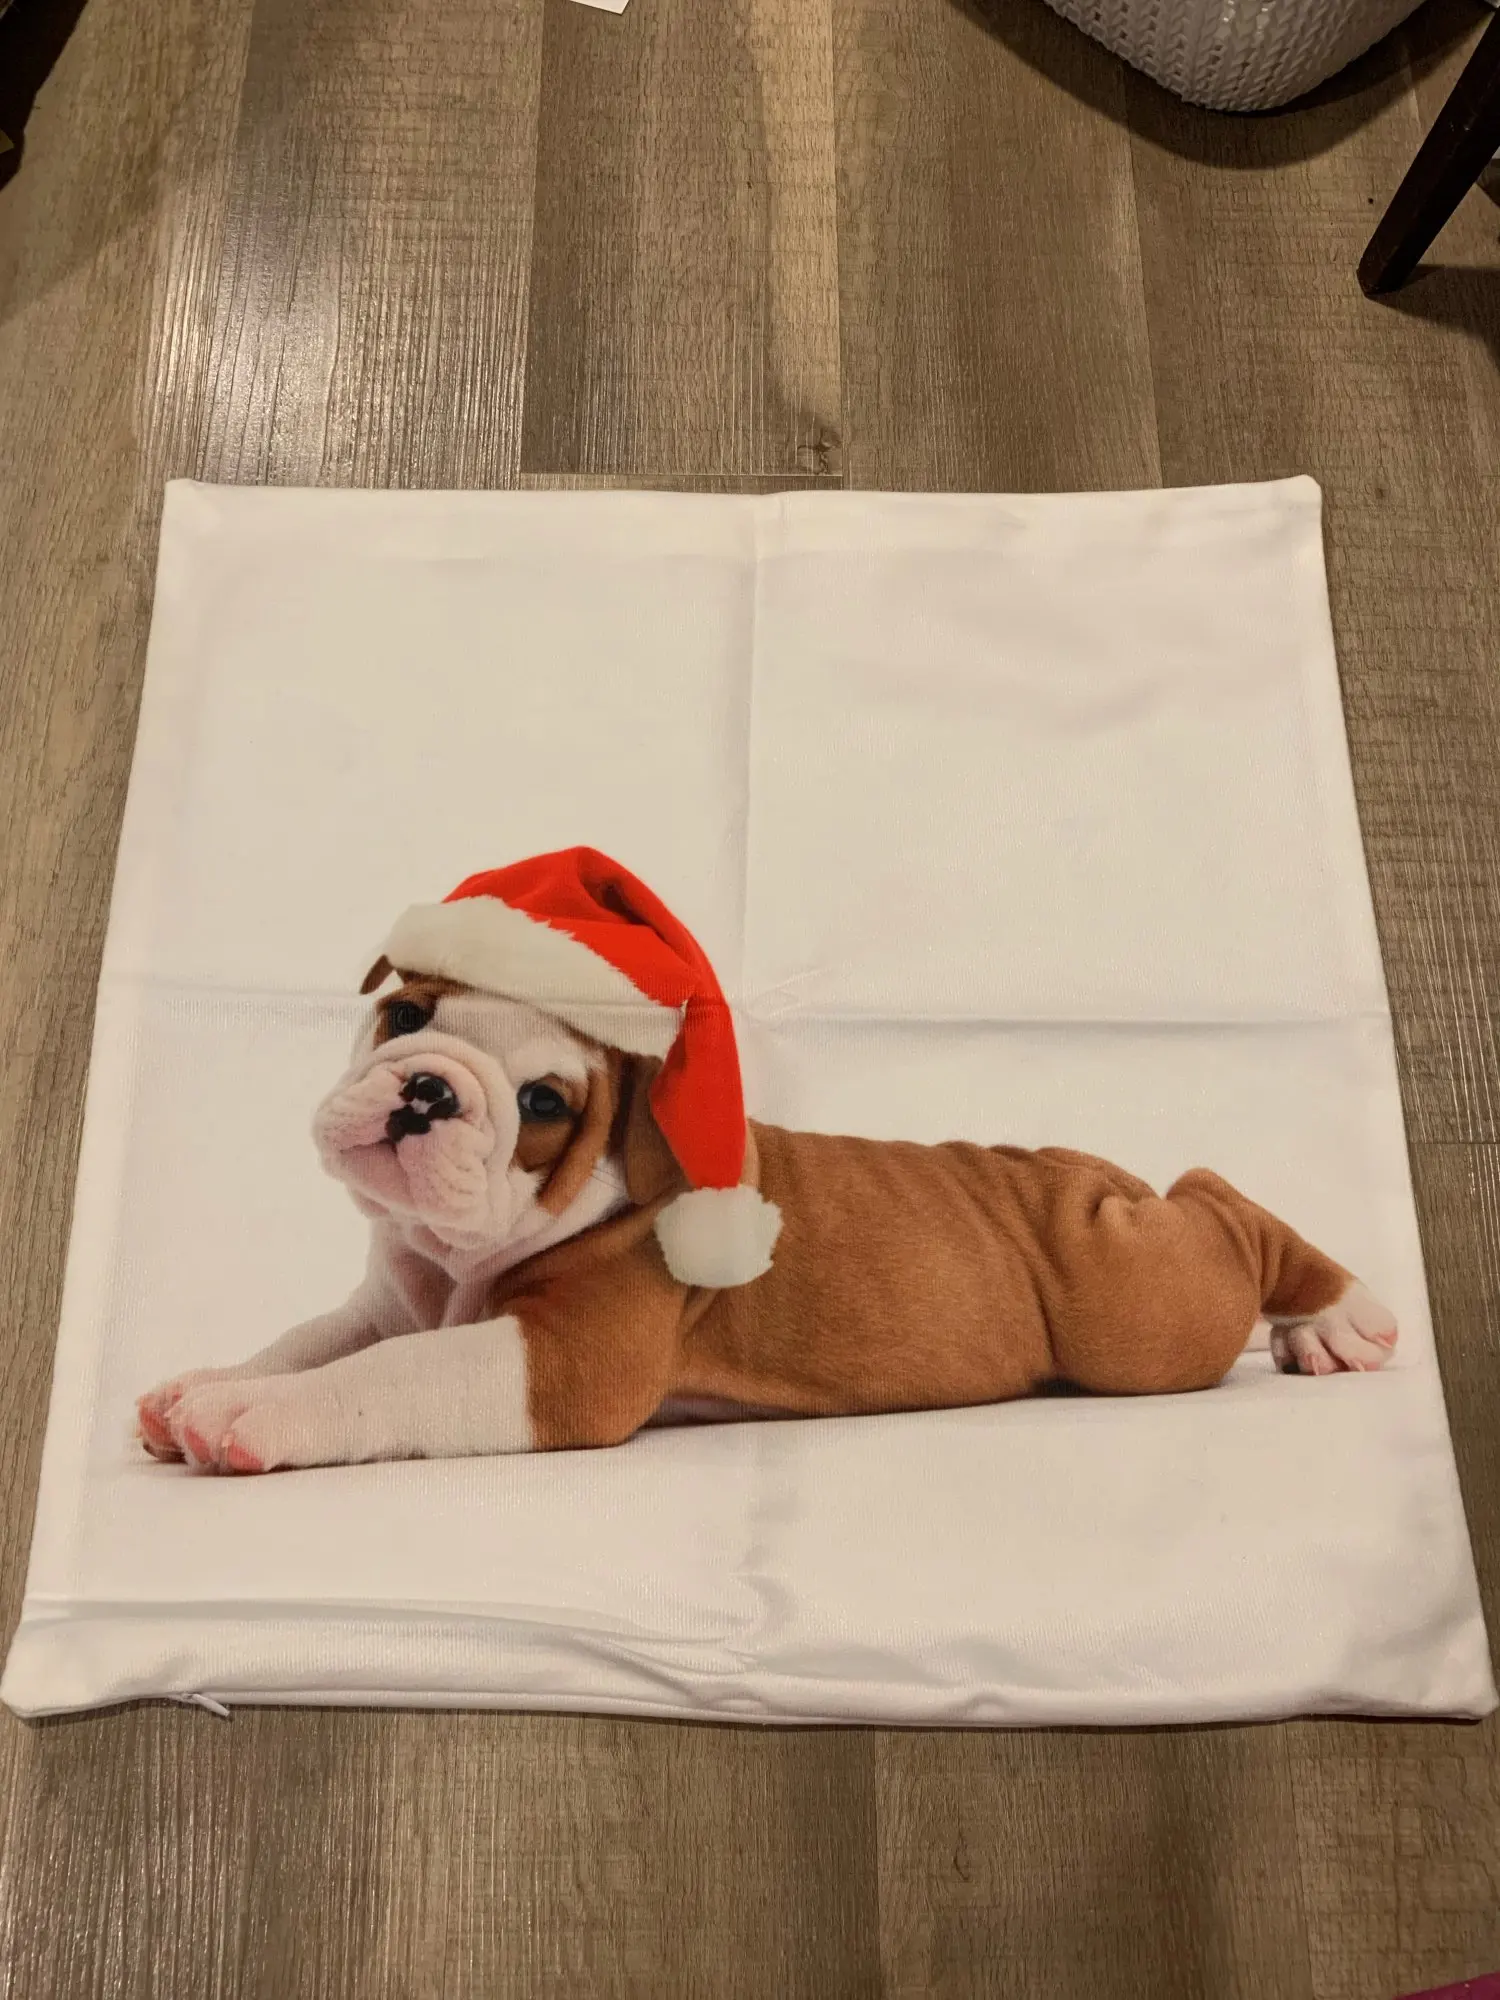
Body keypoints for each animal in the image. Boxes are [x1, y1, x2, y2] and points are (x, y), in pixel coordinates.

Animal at [136, 850, 1398, 1474]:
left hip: (1135, 1309)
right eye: (405, 1016)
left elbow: (376, 1377)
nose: (429, 1091)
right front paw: (209, 1380)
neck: (456, 1257)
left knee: (1221, 1210)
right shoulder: (389, 1301)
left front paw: (247, 1414)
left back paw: (1336, 1311)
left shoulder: (558, 1360)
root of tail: (1088, 1171)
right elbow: (311, 1340)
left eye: (544, 1101)